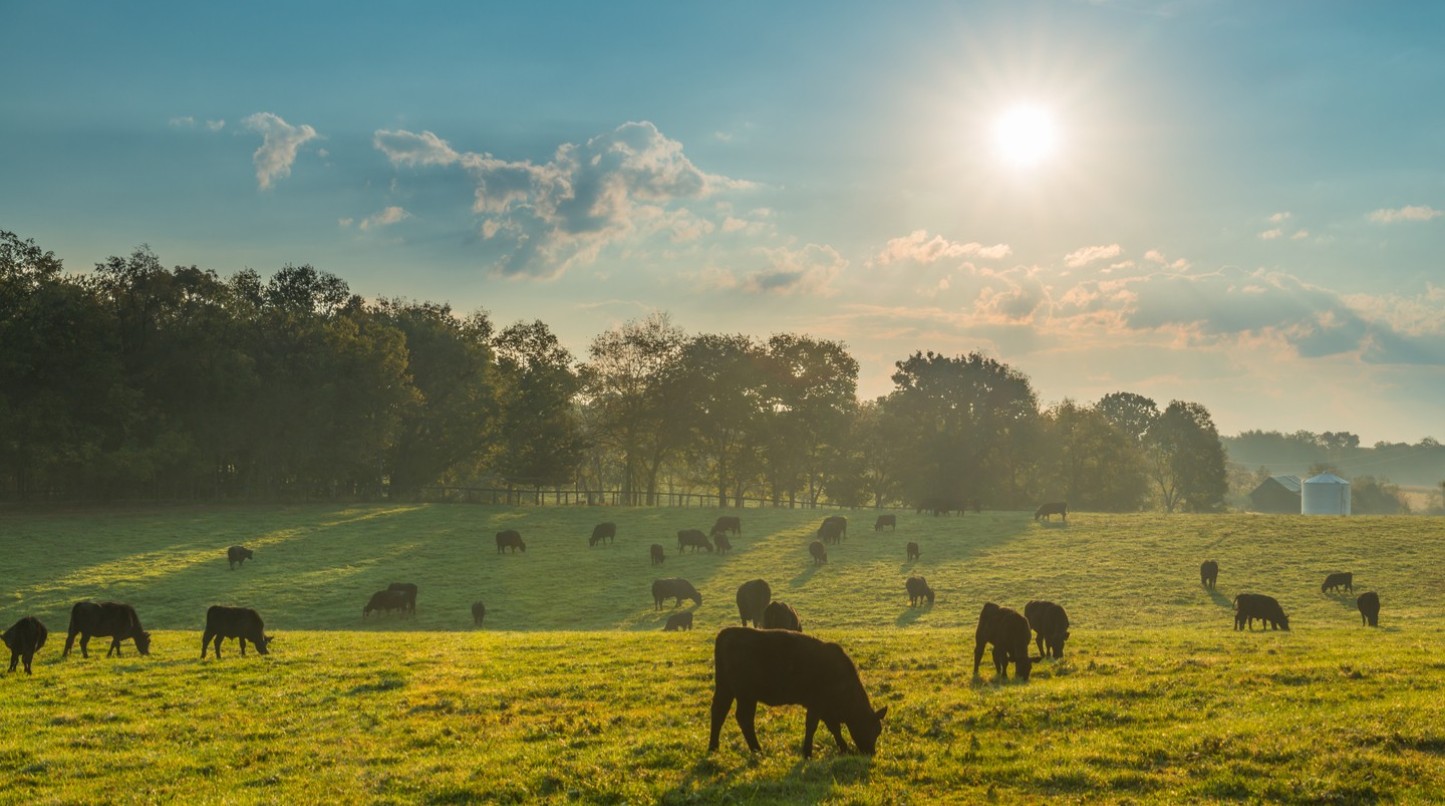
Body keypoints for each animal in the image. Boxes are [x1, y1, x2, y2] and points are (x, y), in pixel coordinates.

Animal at [708, 629, 884, 762]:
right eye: (874, 729)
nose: (871, 753)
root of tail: (727, 633)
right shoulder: (816, 705)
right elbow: (813, 726)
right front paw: (808, 753)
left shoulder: (826, 709)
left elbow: (834, 729)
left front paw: (843, 748)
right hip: (746, 695)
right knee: (743, 718)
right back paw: (757, 750)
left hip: (726, 689)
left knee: (718, 713)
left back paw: (713, 748)